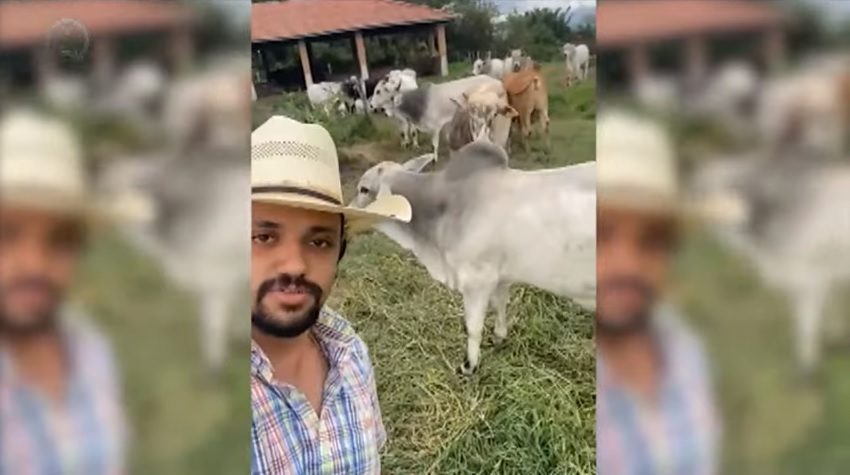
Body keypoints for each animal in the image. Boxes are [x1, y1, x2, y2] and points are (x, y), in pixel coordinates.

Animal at [348, 146, 592, 376]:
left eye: (364, 189)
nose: (347, 212)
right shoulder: (500, 277)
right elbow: (500, 304)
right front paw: (499, 337)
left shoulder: (477, 280)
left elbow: (473, 327)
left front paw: (469, 365)